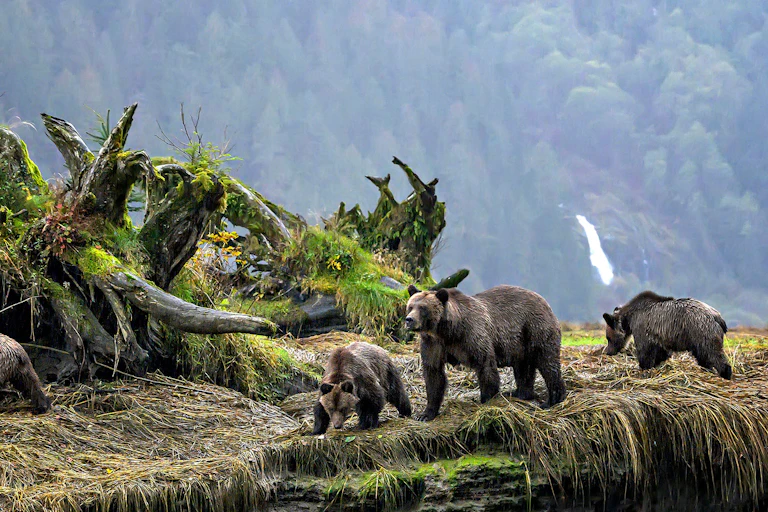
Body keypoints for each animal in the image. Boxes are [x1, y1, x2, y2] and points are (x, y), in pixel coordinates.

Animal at [405, 285, 566, 421]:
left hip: (536, 329)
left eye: (423, 308)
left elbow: (485, 366)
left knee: (547, 363)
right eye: (410, 306)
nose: (409, 320)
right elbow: (434, 374)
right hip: (521, 345)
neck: (448, 331)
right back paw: (520, 393)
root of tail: (544, 301)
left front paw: (487, 401)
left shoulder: (473, 335)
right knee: (523, 369)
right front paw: (425, 414)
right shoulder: (433, 344)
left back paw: (552, 400)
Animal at [602, 290, 731, 379]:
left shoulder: (642, 327)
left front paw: (644, 367)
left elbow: (645, 352)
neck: (629, 318)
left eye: (608, 338)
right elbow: (661, 353)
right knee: (703, 357)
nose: (608, 352)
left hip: (701, 331)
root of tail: (718, 317)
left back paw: (725, 373)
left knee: (713, 353)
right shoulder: (659, 336)